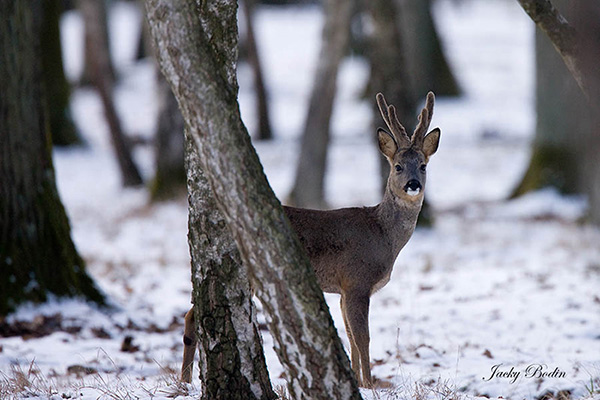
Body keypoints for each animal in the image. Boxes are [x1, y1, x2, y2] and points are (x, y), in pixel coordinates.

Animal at [179, 91, 440, 388]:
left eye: (423, 166)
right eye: (397, 166)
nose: (413, 184)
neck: (383, 235)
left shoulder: (342, 290)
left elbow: (351, 339)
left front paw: (359, 382)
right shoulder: (356, 280)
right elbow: (363, 339)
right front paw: (370, 385)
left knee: (190, 314)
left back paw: (185, 382)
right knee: (192, 315)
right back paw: (185, 382)